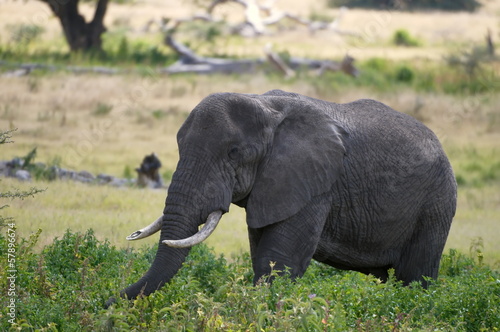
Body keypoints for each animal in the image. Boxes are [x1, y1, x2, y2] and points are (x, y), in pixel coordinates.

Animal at [106, 89, 458, 306]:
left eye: (234, 153)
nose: (106, 302)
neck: (265, 105)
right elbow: (262, 252)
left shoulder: (313, 184)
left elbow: (280, 260)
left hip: (436, 204)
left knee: (414, 277)